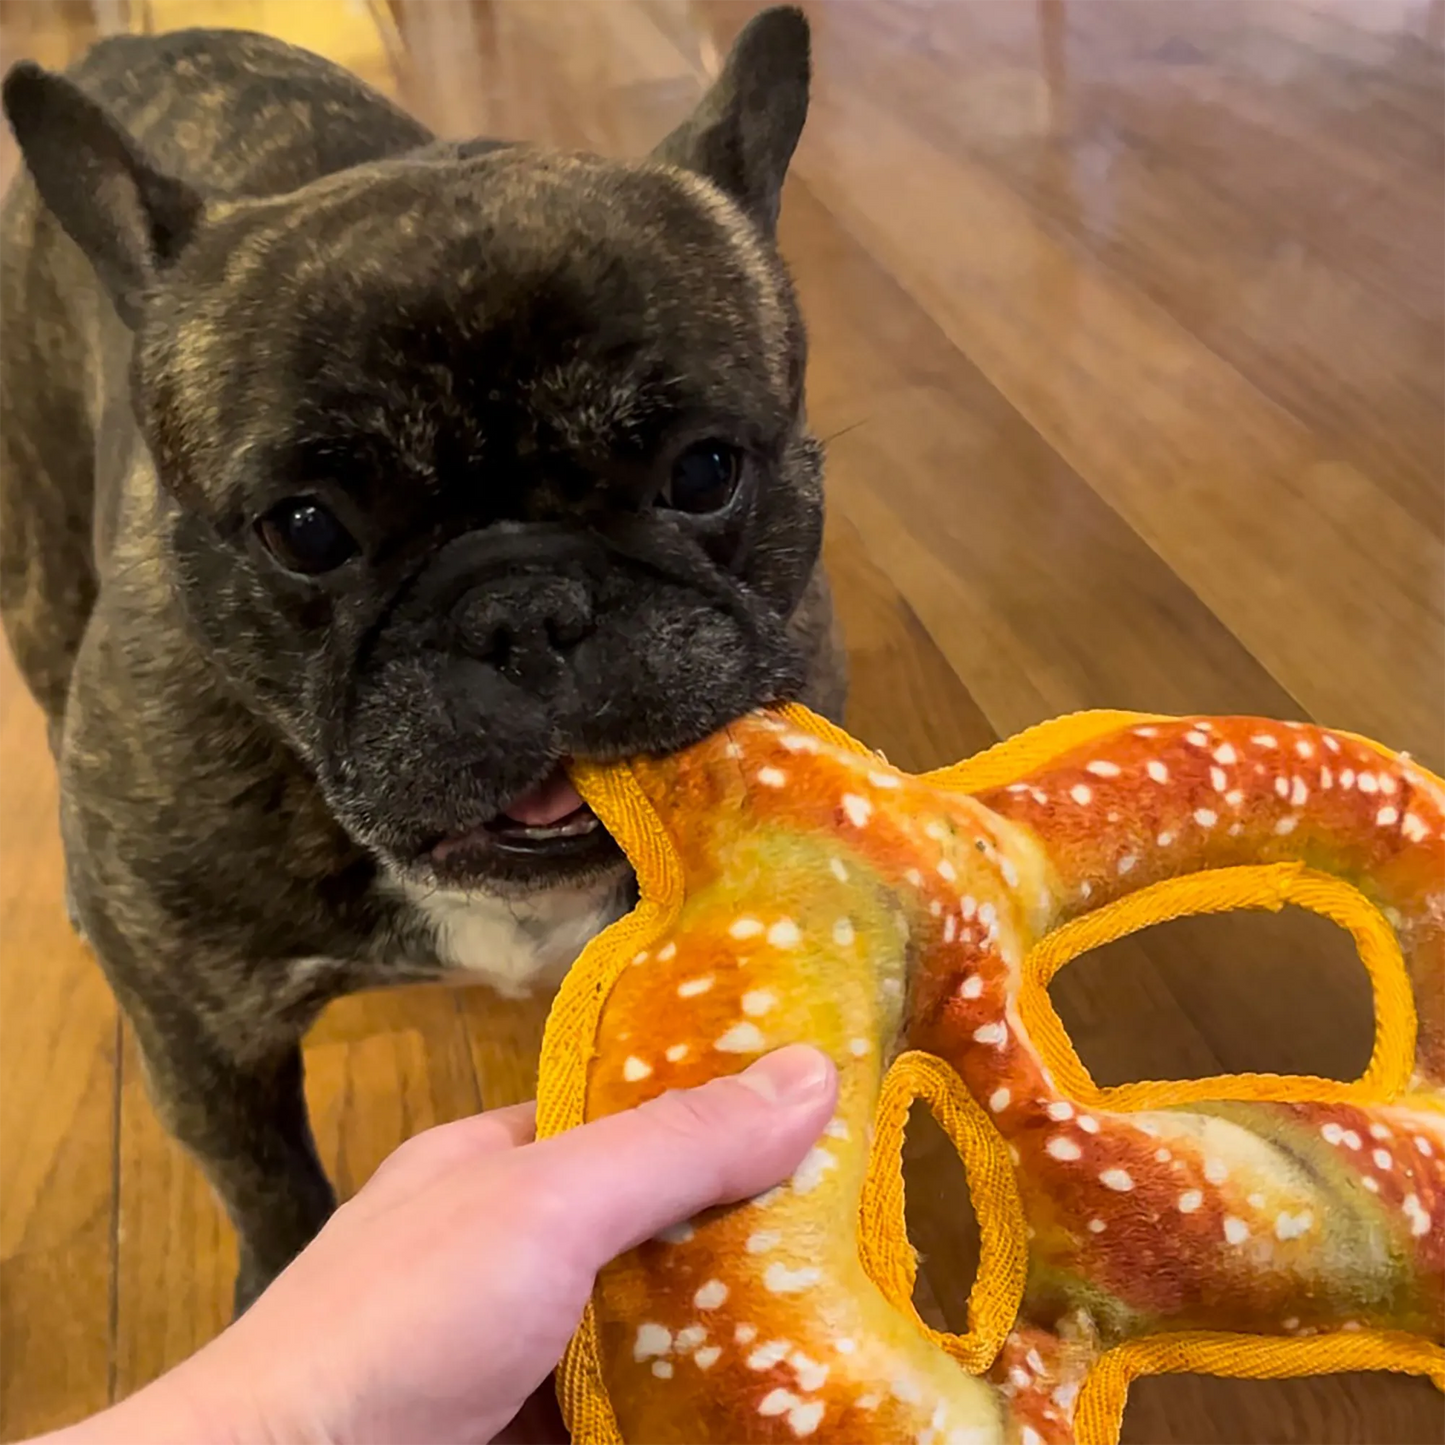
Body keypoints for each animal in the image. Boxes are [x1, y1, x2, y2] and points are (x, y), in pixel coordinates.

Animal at [0, 5, 843, 1312]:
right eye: (304, 529)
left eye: (704, 469)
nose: (522, 608)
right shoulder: (204, 1038)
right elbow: (265, 1179)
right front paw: (284, 1281)